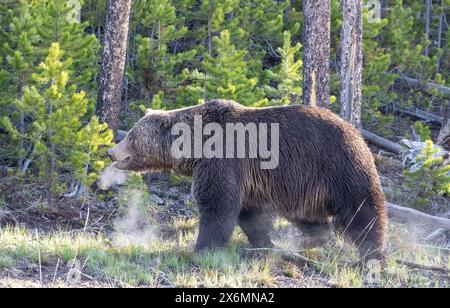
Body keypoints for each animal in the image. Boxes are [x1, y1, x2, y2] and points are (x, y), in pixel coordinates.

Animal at [108, 99, 386, 262]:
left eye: (131, 136)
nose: (111, 151)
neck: (194, 148)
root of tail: (357, 133)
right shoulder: (249, 180)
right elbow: (249, 213)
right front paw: (264, 244)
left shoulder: (223, 160)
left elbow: (217, 204)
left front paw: (203, 249)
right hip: (303, 187)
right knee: (308, 216)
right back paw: (310, 239)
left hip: (339, 167)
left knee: (363, 211)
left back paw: (371, 255)